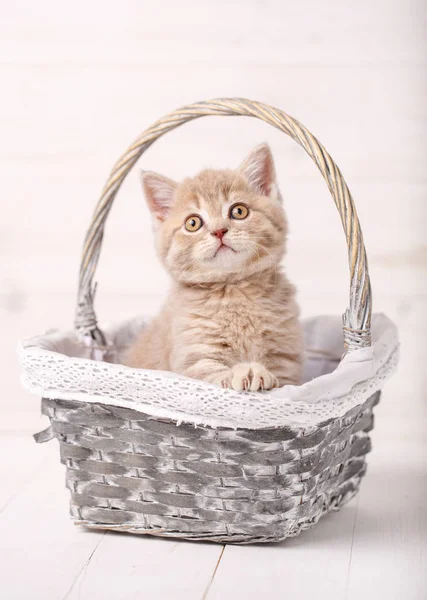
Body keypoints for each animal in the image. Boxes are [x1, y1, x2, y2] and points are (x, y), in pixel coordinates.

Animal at [123, 144, 304, 392]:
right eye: (193, 223)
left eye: (239, 211)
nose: (219, 231)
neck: (233, 289)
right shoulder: (192, 358)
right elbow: (211, 373)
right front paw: (245, 371)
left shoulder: (285, 362)